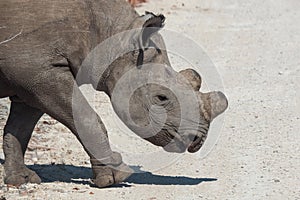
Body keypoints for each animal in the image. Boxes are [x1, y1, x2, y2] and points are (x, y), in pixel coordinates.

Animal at [0, 0, 229, 188]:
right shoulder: (39, 72)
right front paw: (115, 177)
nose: (199, 139)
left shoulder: (31, 78)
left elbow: (20, 128)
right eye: (161, 98)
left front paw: (22, 180)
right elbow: (86, 117)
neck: (110, 37)